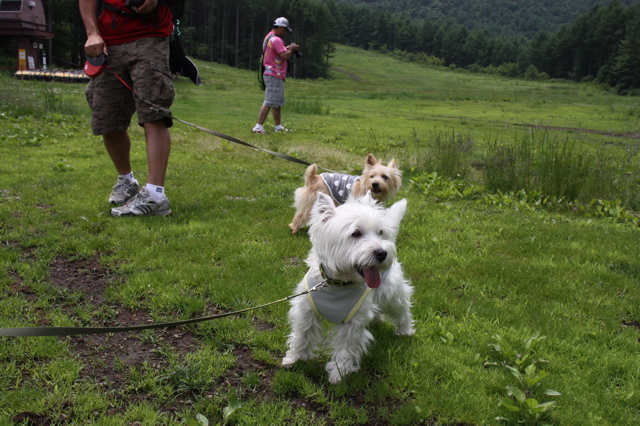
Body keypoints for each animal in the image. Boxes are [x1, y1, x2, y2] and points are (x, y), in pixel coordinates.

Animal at [282, 191, 416, 384]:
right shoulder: (306, 311)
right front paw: (294, 358)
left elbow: (345, 349)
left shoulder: (352, 323)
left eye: (380, 232)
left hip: (392, 292)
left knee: (402, 309)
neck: (337, 284)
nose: (382, 253)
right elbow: (302, 335)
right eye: (356, 233)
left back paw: (405, 330)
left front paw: (339, 374)